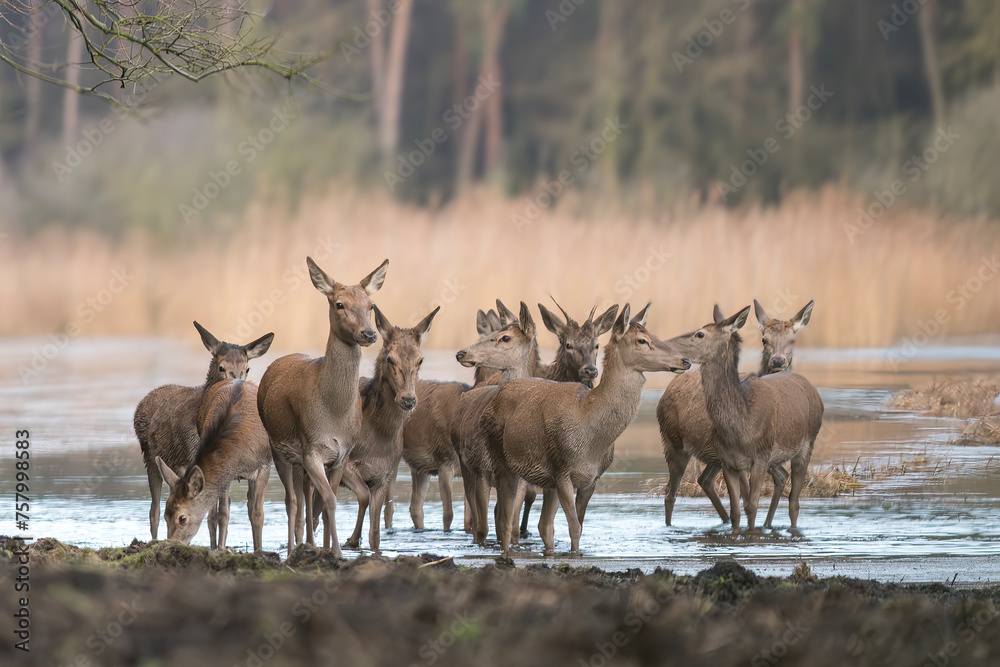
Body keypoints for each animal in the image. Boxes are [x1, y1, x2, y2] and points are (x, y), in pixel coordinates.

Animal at [154, 379, 272, 550]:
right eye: (165, 515)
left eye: (182, 518)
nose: (170, 545)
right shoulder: (226, 473)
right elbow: (223, 514)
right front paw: (221, 549)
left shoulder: (265, 465)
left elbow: (258, 513)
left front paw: (259, 550)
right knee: (214, 514)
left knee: (250, 506)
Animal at [256, 257, 388, 558]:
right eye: (339, 303)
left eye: (371, 305)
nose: (368, 333)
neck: (334, 414)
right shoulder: (312, 448)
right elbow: (328, 499)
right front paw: (337, 552)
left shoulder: (342, 453)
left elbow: (329, 501)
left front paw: (329, 550)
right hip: (277, 447)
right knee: (292, 501)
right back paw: (291, 550)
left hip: (299, 461)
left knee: (305, 496)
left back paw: (309, 544)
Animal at [313, 305, 438, 552]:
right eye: (390, 358)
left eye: (420, 359)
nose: (408, 399)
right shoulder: (346, 463)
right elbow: (363, 495)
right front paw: (351, 539)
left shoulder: (385, 475)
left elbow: (376, 533)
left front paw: (363, 543)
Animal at [480, 304, 691, 554]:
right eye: (642, 340)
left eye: (654, 335)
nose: (685, 360)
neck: (591, 435)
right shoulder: (562, 469)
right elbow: (573, 526)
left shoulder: (591, 478)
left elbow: (578, 526)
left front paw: (574, 553)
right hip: (502, 462)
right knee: (503, 519)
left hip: (543, 481)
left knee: (542, 525)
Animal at [659, 300, 814, 529]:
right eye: (764, 339)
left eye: (792, 340)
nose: (778, 361)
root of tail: (668, 389)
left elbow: (774, 482)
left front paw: (765, 525)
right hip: (673, 442)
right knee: (671, 494)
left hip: (711, 457)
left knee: (704, 480)